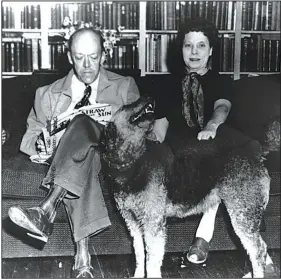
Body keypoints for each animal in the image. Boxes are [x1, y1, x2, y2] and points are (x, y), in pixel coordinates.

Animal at [102, 97, 272, 278]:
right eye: (126, 106)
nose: (149, 97)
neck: (133, 161)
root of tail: (256, 151)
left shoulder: (152, 222)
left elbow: (152, 261)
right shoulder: (132, 221)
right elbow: (139, 254)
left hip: (243, 211)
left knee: (258, 249)